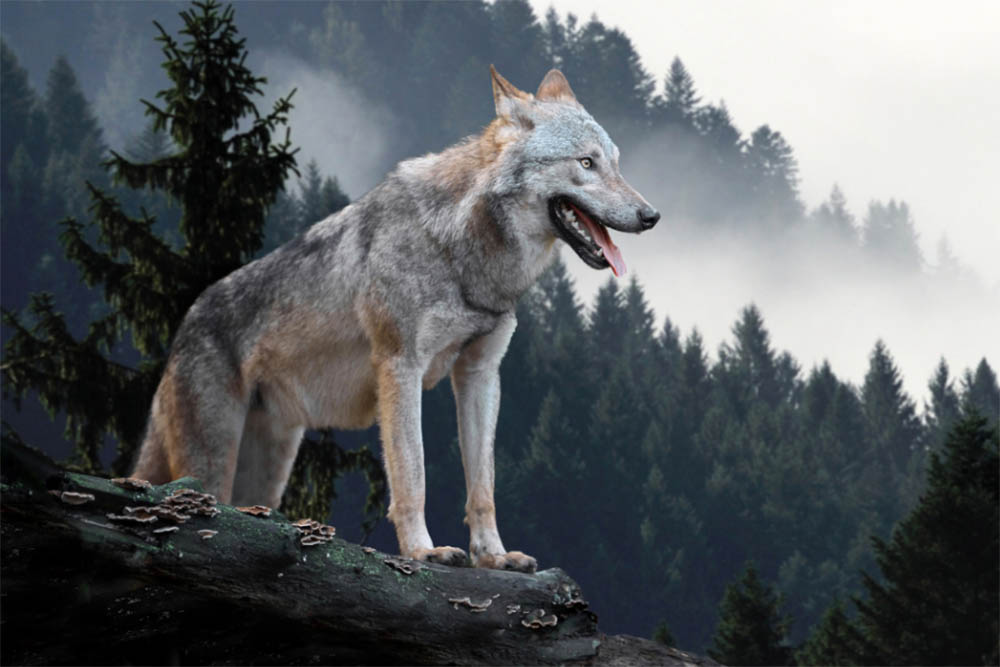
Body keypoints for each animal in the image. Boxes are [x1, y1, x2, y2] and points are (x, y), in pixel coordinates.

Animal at [133, 66, 659, 572]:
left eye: (615, 162)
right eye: (586, 163)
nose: (651, 215)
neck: (461, 251)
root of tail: (183, 326)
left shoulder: (481, 374)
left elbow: (482, 486)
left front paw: (493, 556)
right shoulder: (401, 367)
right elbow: (413, 474)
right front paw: (423, 552)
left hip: (267, 474)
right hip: (212, 465)